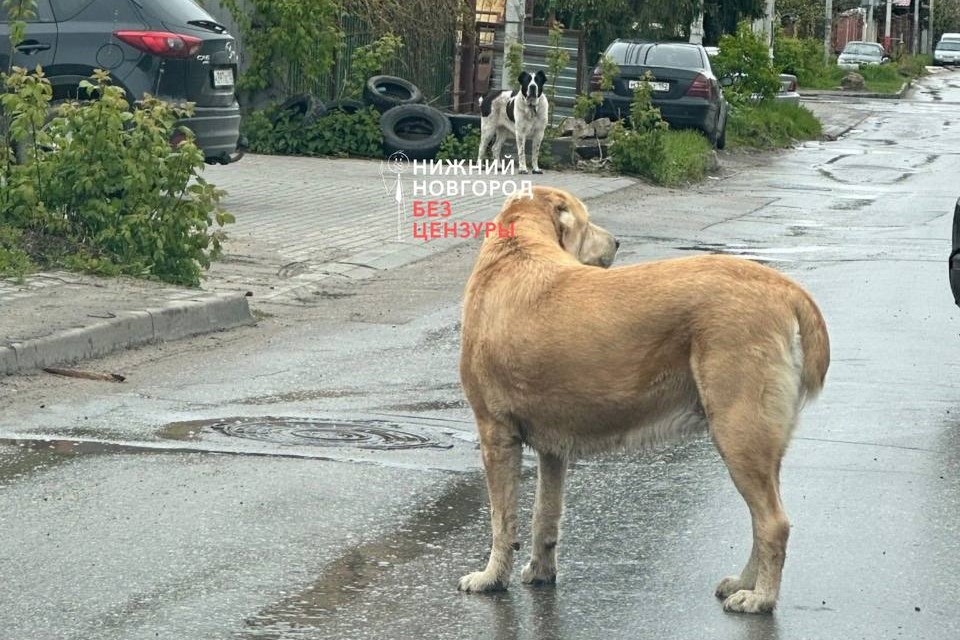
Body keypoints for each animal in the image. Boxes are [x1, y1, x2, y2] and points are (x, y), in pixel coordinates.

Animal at [462, 185, 828, 616]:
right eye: (587, 222)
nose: (617, 242)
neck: (518, 248)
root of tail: (785, 287)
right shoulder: (553, 451)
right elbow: (544, 516)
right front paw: (540, 571)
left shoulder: (495, 435)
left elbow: (501, 520)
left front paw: (490, 578)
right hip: (759, 444)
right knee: (761, 520)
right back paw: (744, 583)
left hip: (738, 434)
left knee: (773, 523)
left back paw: (760, 598)